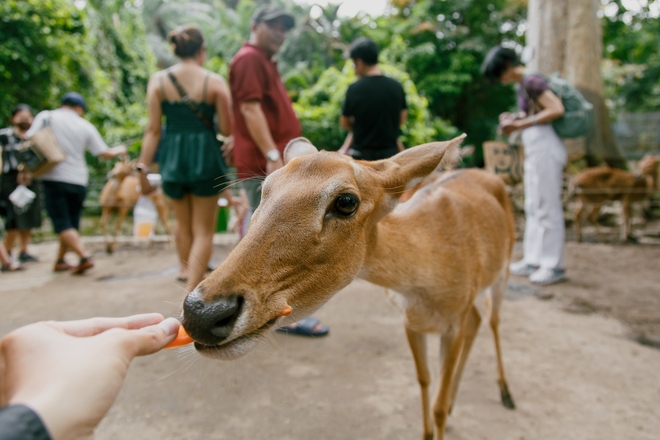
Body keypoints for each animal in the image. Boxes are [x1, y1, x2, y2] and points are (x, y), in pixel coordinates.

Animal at [179, 137, 516, 440]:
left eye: (346, 202)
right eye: (264, 189)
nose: (201, 313)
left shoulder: (453, 323)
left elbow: (438, 406)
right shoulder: (410, 321)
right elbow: (423, 381)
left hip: (503, 270)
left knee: (494, 320)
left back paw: (507, 394)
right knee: (478, 321)